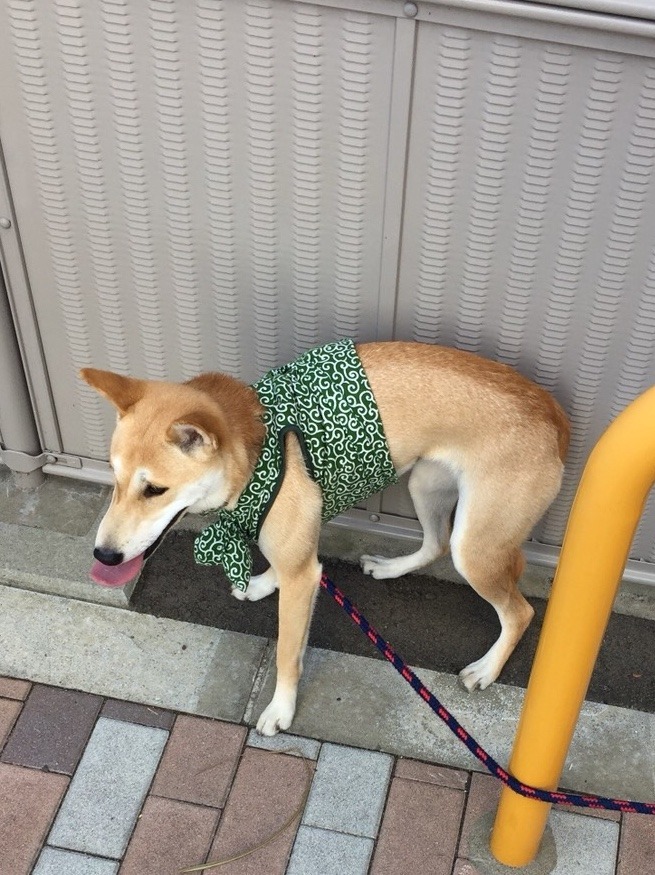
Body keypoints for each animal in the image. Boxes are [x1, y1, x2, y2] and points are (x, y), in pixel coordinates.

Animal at [80, 338, 568, 736]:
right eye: (114, 476)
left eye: (155, 490)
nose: (103, 556)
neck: (254, 452)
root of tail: (553, 412)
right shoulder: (296, 554)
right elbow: (280, 567)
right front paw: (261, 583)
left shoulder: (302, 577)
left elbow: (287, 652)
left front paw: (281, 710)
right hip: (426, 485)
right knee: (434, 544)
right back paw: (391, 568)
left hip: (476, 548)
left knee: (520, 612)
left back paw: (487, 668)